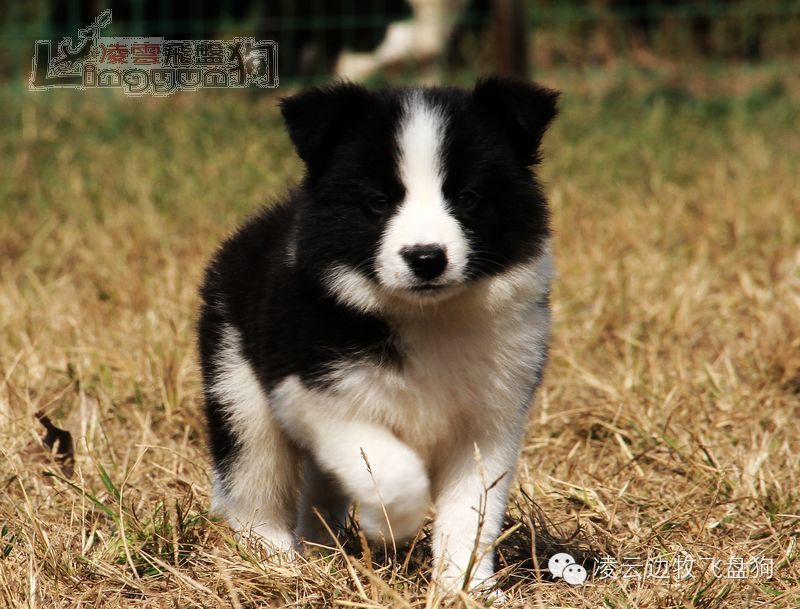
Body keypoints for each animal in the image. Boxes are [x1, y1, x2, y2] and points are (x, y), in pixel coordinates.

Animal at [198, 77, 558, 593]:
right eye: (378, 203)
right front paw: (388, 525)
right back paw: (275, 561)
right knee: (253, 480)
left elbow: (472, 511)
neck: (426, 317)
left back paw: (320, 551)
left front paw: (465, 588)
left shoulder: (491, 418)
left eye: (467, 199)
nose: (426, 257)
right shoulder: (312, 394)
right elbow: (391, 468)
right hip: (238, 386)